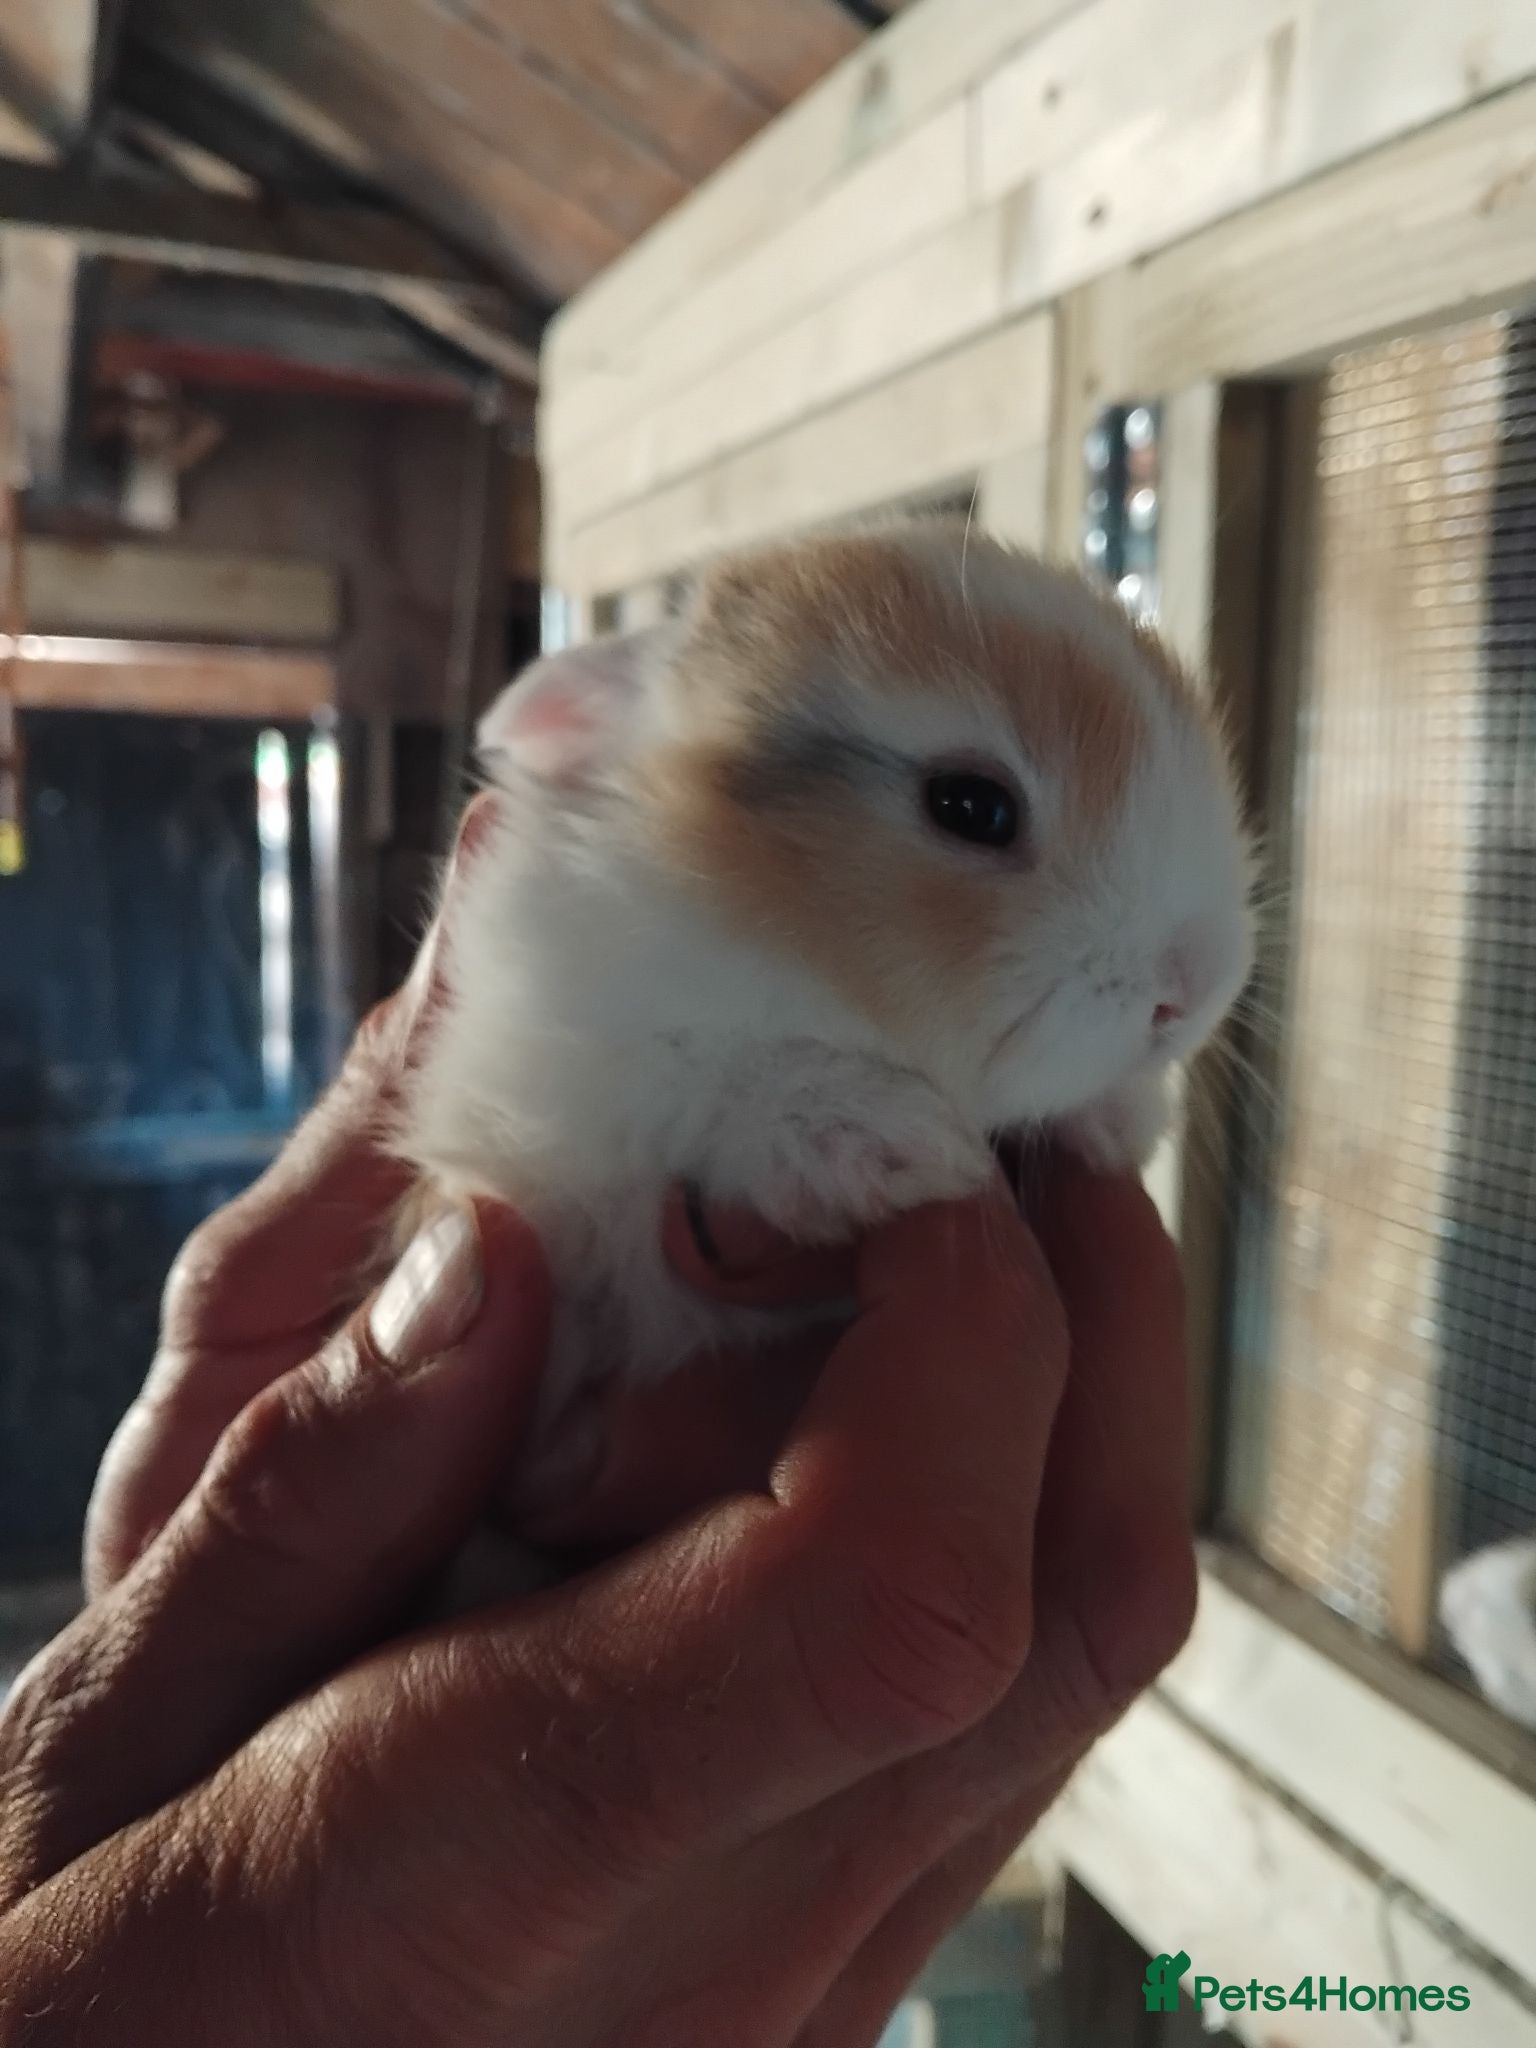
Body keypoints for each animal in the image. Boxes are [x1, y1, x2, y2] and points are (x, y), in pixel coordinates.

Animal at [401, 518, 1254, 1489]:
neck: (753, 929)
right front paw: (901, 1145)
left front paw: (1121, 1121)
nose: (1195, 984)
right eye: (972, 806)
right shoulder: (583, 1086)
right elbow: (713, 1079)